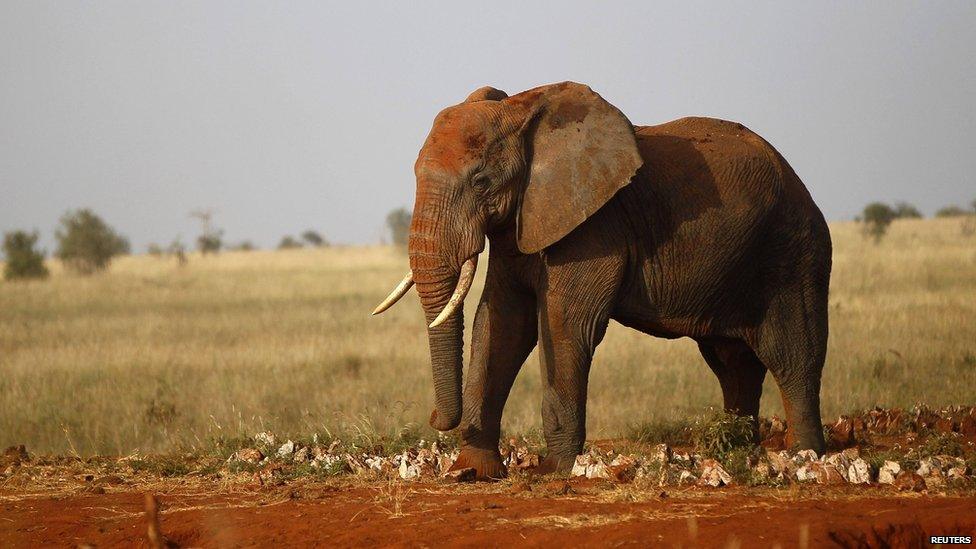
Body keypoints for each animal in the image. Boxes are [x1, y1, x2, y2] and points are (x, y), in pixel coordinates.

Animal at [373, 82, 831, 479]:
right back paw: (737, 448)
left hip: (794, 252)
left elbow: (565, 325)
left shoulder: (594, 226)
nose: (434, 418)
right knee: (733, 363)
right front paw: (473, 470)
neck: (523, 111)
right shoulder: (520, 224)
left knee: (792, 355)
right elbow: (502, 323)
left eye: (480, 181)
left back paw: (804, 455)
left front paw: (557, 470)